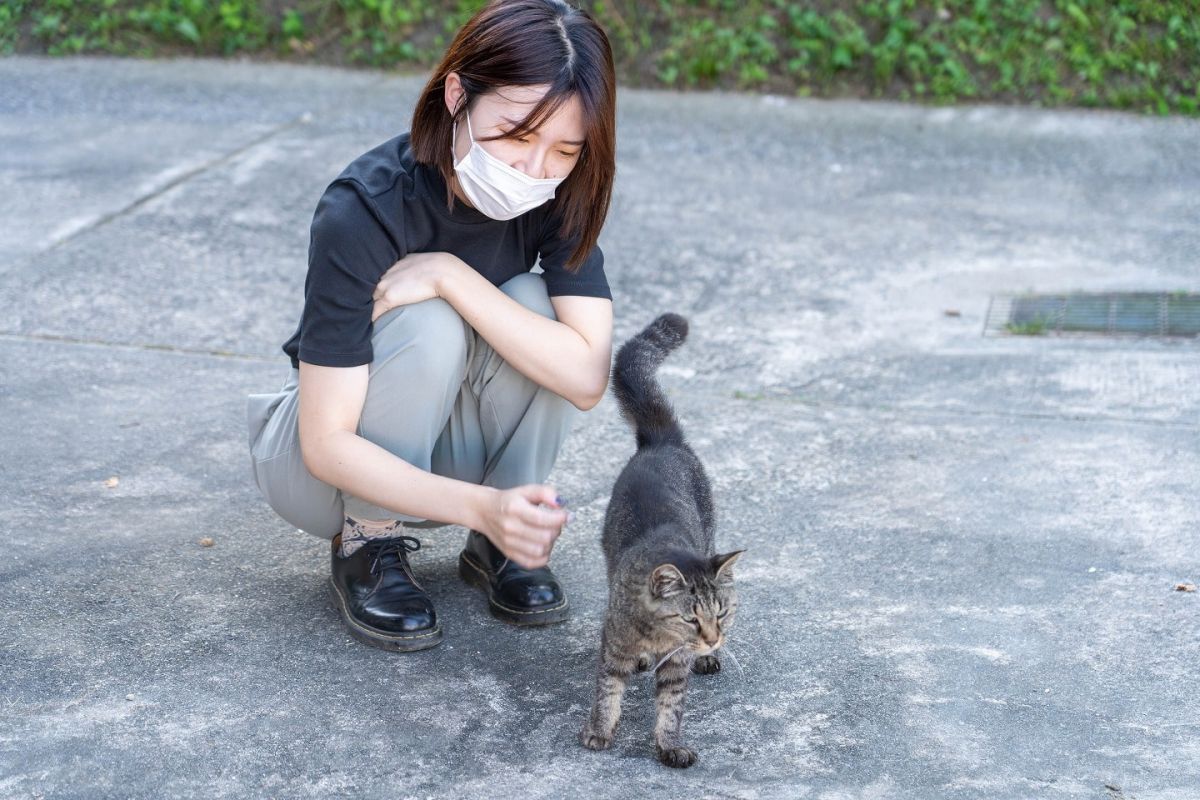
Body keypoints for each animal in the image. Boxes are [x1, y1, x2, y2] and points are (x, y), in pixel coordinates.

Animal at [578, 311, 739, 767]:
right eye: (690, 618)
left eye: (721, 613)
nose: (712, 639)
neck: (660, 637)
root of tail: (662, 440)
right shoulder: (613, 645)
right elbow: (607, 690)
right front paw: (599, 731)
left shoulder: (677, 665)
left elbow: (671, 705)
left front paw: (669, 744)